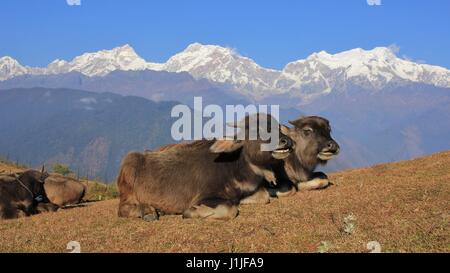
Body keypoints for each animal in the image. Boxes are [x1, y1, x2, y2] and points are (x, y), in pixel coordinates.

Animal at [118, 113, 294, 220]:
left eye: (278, 127)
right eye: (256, 130)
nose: (287, 141)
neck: (234, 167)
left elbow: (263, 196)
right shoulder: (203, 197)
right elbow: (229, 210)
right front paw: (193, 212)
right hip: (128, 182)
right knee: (122, 209)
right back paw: (149, 211)